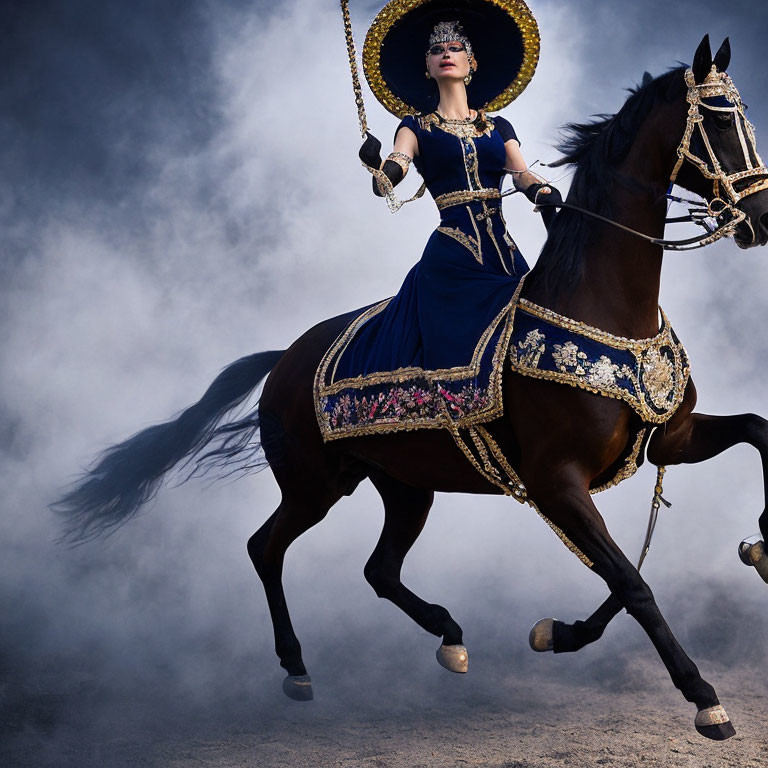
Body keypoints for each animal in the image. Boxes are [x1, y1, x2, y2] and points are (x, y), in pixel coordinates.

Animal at [55, 39, 768, 740]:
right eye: (719, 120)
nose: (760, 214)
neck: (599, 306)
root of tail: (286, 359)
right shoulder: (556, 481)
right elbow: (633, 582)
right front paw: (704, 698)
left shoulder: (670, 441)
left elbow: (747, 440)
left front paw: (752, 548)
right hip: (316, 484)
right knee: (266, 548)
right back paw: (297, 667)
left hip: (403, 484)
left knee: (378, 568)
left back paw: (448, 636)